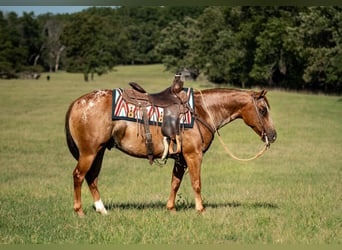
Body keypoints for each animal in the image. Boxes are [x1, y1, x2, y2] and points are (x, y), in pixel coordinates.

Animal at [65, 87, 278, 216]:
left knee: (92, 178)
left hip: (99, 151)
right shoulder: (193, 155)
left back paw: (102, 210)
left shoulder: (180, 159)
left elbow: (175, 183)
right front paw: (201, 210)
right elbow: (196, 183)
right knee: (78, 175)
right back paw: (79, 211)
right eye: (262, 110)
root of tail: (77, 102)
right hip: (89, 152)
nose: (273, 135)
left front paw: (171, 208)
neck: (201, 110)